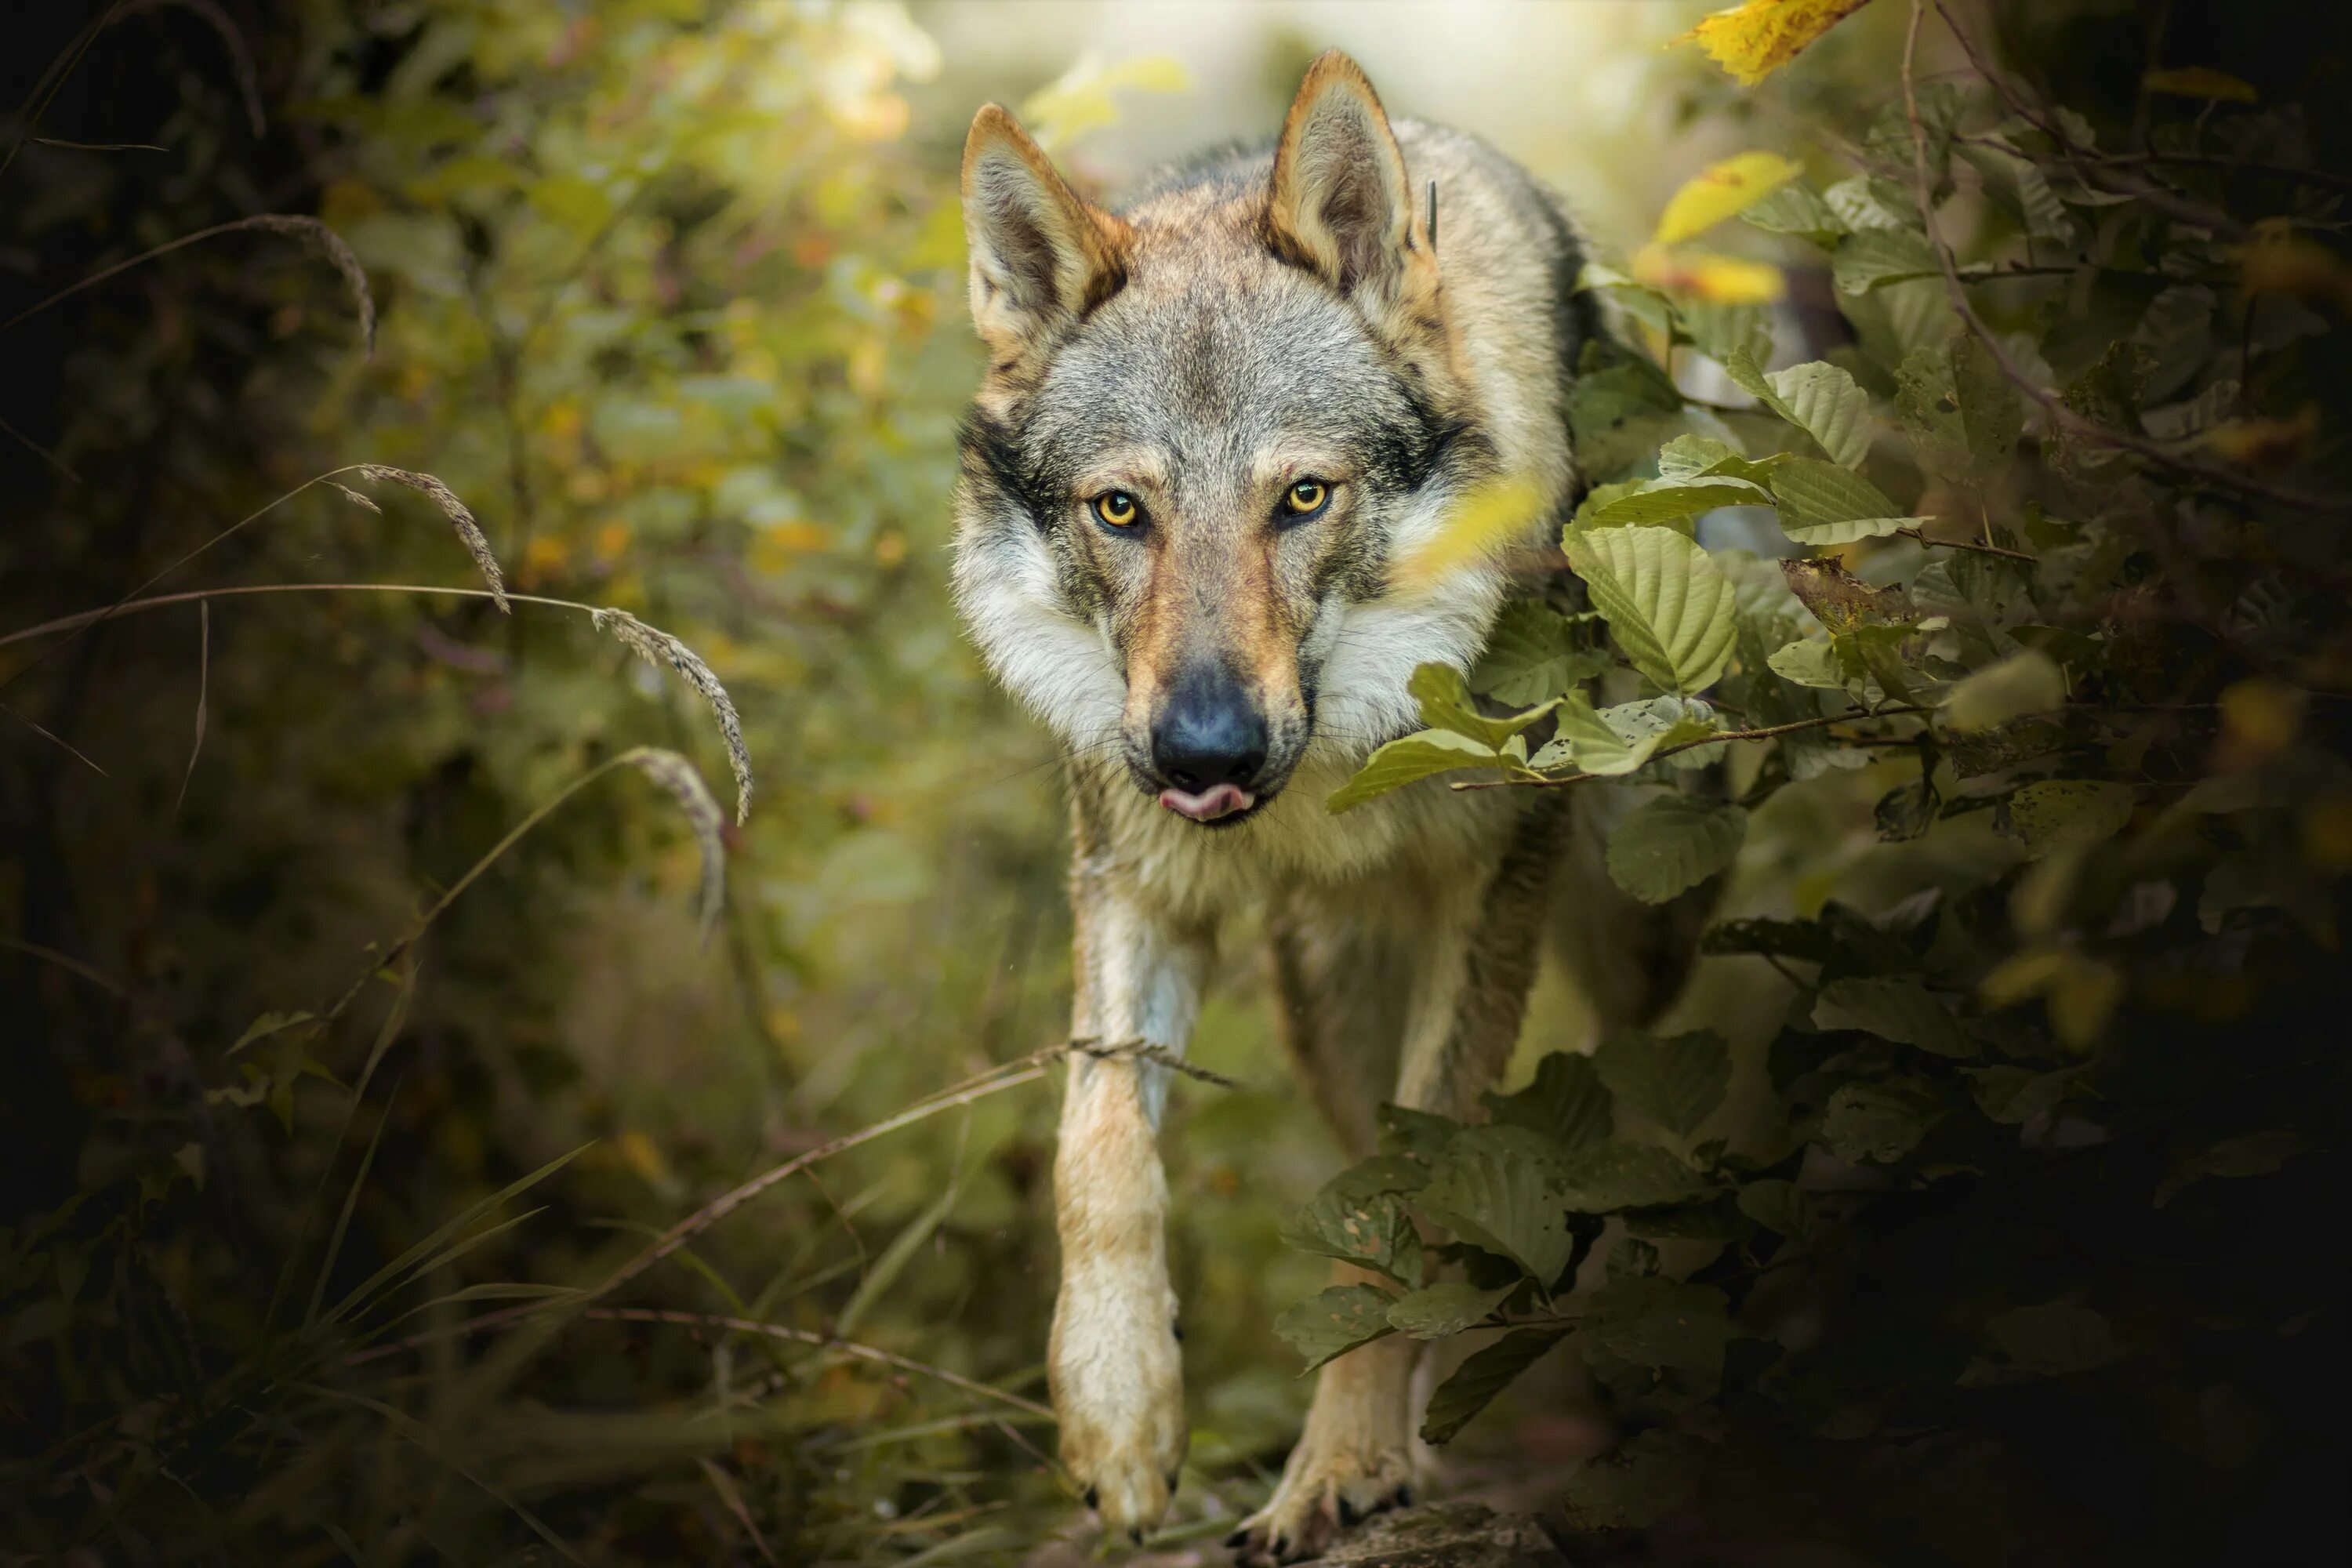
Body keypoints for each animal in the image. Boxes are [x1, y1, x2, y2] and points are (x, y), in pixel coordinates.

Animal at [946, 52, 1703, 1568]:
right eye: (1121, 512)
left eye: (1302, 497)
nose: (1203, 752)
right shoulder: (1134, 881)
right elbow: (1096, 1151)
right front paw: (1120, 1417)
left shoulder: (1495, 892)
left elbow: (1421, 1195)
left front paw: (1339, 1462)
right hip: (1325, 999)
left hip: (1627, 918)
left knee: (1618, 1077)